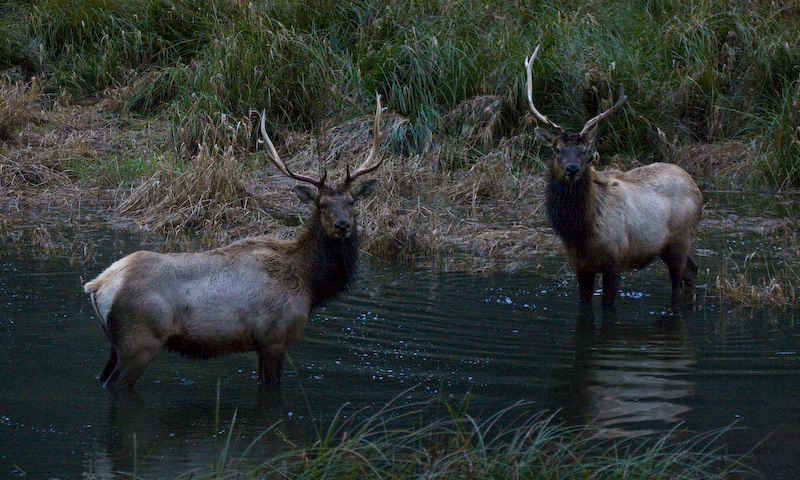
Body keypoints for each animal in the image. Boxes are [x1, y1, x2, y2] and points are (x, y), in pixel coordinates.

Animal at [86, 94, 386, 390]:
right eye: (322, 205)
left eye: (351, 202)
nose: (342, 225)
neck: (311, 282)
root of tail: (98, 286)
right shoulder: (274, 336)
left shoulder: (261, 344)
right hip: (140, 341)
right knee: (115, 384)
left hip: (116, 344)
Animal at [528, 46, 704, 308]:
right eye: (557, 150)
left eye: (586, 152)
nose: (573, 169)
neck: (581, 232)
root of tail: (696, 187)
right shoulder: (580, 265)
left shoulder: (615, 259)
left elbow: (608, 305)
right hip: (669, 246)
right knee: (692, 271)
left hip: (680, 239)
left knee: (678, 282)